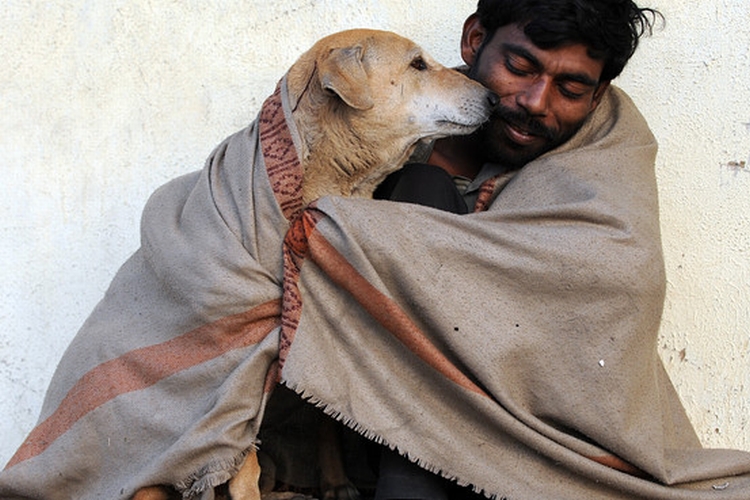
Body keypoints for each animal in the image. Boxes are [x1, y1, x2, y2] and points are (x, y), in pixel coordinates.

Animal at [135, 28, 500, 500]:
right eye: (417, 65)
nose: (494, 98)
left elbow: (323, 416)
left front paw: (336, 481)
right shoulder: (241, 375)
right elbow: (239, 456)